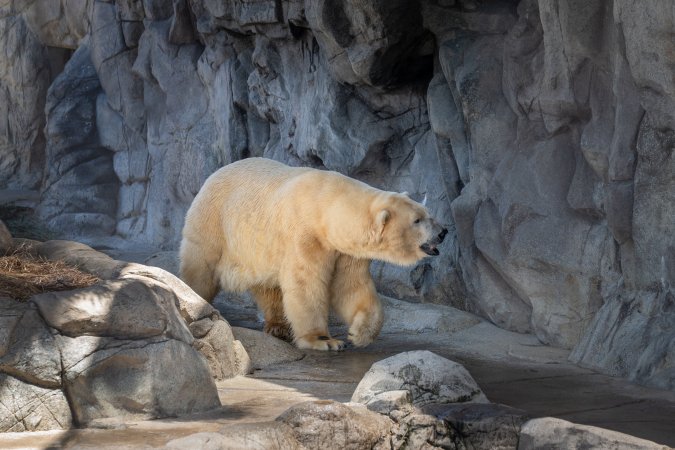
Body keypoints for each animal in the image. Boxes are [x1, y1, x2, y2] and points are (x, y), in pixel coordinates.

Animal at [179, 158, 447, 351]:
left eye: (428, 213)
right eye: (417, 220)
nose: (443, 232)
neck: (327, 205)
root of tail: (214, 174)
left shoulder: (344, 251)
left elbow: (351, 286)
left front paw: (359, 333)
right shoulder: (306, 235)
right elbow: (306, 283)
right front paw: (324, 340)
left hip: (259, 250)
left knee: (268, 286)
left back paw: (278, 326)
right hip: (213, 222)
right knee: (201, 268)